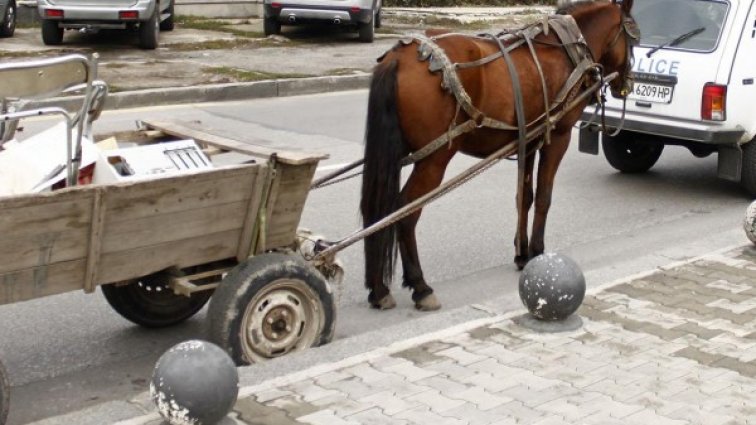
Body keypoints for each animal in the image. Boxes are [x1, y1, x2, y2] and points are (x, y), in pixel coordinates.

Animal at [360, 0, 636, 312]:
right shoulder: (558, 138)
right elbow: (543, 197)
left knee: (376, 209)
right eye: (633, 36)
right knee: (406, 210)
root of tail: (399, 57)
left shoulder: (530, 140)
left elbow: (524, 196)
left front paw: (522, 253)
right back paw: (420, 286)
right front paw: (537, 251)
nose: (628, 83)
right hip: (435, 158)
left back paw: (378, 289)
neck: (565, 48)